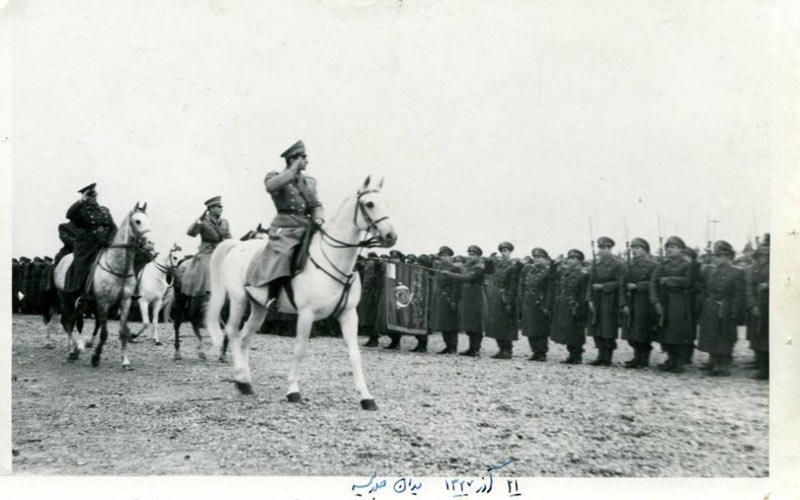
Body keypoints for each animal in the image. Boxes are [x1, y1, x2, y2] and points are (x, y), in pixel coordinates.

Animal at [48, 201, 155, 370]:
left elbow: (123, 331)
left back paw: (76, 348)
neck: (118, 268)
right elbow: (104, 332)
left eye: (148, 220)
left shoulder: (125, 302)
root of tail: (61, 261)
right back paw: (72, 351)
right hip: (65, 298)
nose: (151, 243)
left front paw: (125, 361)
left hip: (82, 304)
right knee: (67, 322)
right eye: (137, 221)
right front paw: (96, 357)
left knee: (74, 321)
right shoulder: (103, 303)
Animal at [205, 176, 396, 410]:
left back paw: (245, 382)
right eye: (369, 204)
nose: (391, 236)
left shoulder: (349, 314)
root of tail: (237, 246)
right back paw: (241, 378)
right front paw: (293, 391)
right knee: (232, 332)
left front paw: (366, 397)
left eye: (387, 203)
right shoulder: (306, 314)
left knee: (244, 337)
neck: (332, 259)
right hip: (238, 300)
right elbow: (300, 349)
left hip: (259, 307)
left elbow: (354, 354)